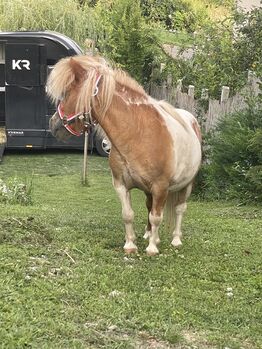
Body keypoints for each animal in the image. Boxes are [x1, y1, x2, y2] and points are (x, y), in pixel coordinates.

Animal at [47, 55, 202, 256]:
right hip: (149, 190)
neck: (137, 133)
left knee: (179, 210)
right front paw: (131, 244)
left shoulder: (160, 187)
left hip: (186, 185)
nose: (53, 125)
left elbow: (157, 217)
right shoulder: (121, 184)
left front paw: (152, 248)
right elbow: (128, 215)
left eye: (66, 93)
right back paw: (150, 235)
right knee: (149, 207)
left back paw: (175, 239)